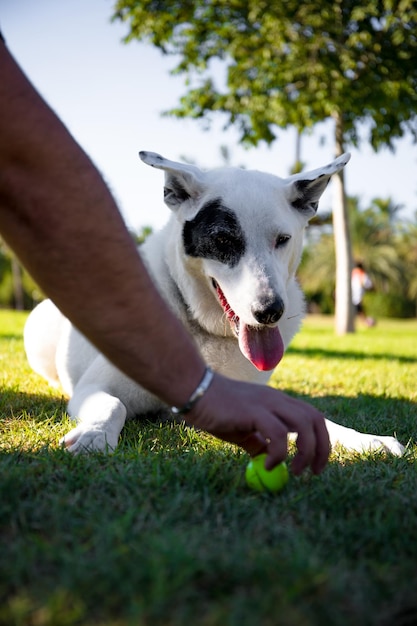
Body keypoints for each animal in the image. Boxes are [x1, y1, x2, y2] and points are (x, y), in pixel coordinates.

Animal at [23, 149, 404, 456]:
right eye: (223, 239)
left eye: (282, 239)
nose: (271, 312)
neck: (203, 330)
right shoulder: (94, 388)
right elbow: (113, 405)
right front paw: (95, 435)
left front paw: (366, 439)